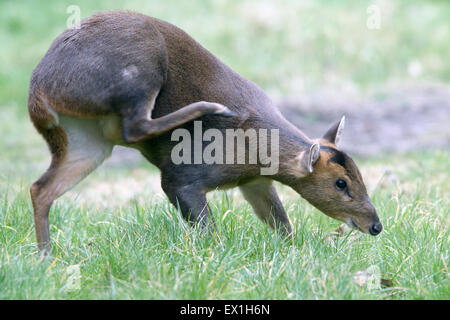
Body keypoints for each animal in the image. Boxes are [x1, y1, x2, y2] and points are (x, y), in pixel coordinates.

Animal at [28, 11, 382, 254]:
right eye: (341, 183)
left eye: (360, 174)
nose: (376, 225)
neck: (254, 150)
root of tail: (39, 91)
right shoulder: (184, 176)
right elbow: (207, 228)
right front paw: (216, 255)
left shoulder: (255, 182)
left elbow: (281, 222)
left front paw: (295, 252)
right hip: (140, 65)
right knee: (135, 126)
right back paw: (212, 108)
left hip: (85, 139)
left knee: (40, 188)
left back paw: (46, 256)